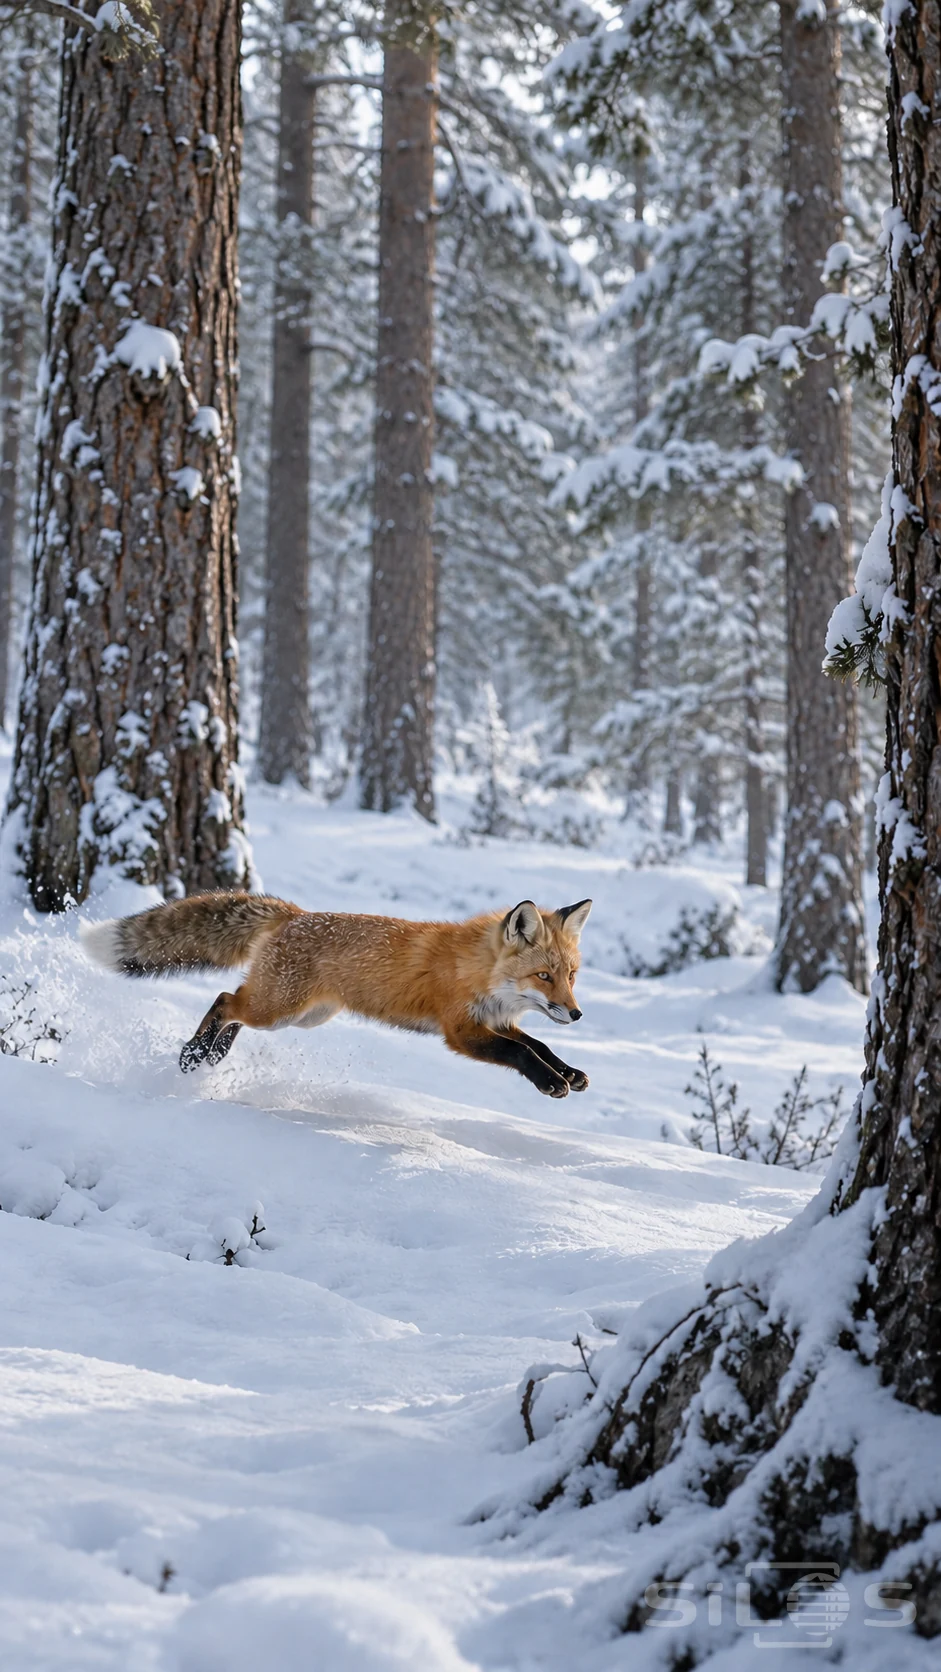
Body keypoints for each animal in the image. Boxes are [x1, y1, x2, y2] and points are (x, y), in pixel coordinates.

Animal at [79, 892, 593, 1098]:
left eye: (571, 975)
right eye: (543, 976)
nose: (576, 1014)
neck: (477, 969)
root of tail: (295, 914)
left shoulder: (497, 1020)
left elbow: (537, 1043)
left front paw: (569, 1071)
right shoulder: (460, 1031)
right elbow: (520, 1054)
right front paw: (551, 1082)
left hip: (303, 1016)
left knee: (233, 1004)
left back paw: (210, 1056)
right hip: (279, 1010)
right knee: (226, 999)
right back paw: (193, 1054)